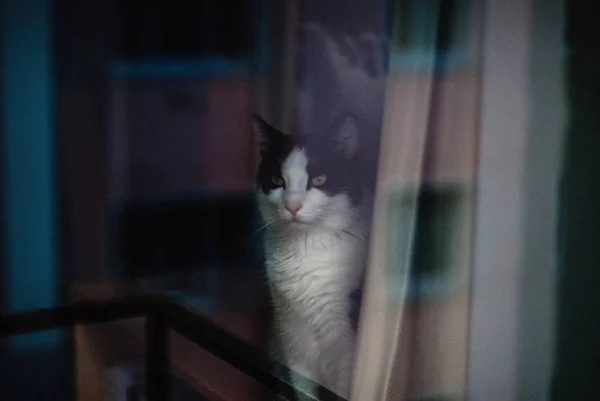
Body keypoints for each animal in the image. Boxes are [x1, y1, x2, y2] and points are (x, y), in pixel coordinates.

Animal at [253, 112, 370, 396]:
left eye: (319, 180)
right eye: (276, 180)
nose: (292, 205)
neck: (305, 249)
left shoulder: (346, 354)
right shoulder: (293, 343)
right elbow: (300, 388)